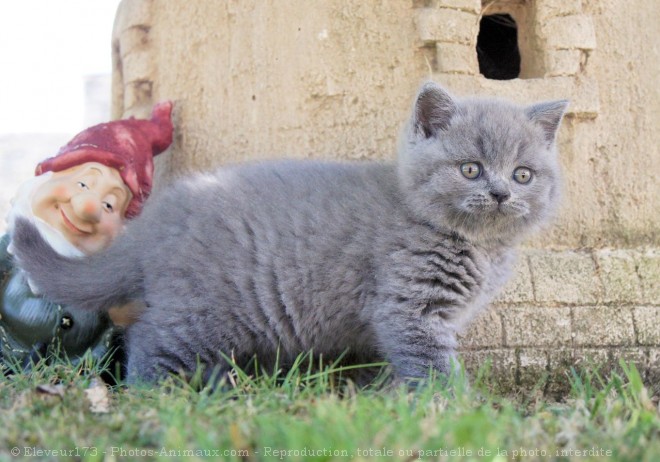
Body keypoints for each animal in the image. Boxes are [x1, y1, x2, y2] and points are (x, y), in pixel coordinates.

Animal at [10, 84, 568, 386]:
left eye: (523, 174)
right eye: (471, 169)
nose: (501, 192)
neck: (477, 246)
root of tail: (157, 219)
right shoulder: (410, 307)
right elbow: (432, 367)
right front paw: (453, 412)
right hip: (208, 307)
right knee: (150, 340)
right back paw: (156, 397)